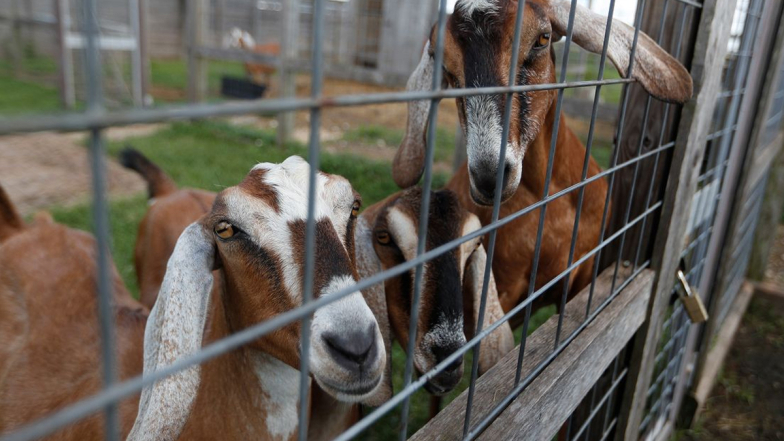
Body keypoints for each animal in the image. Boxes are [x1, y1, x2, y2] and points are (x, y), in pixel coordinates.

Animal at [393, 0, 693, 323]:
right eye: (446, 68)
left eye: (542, 39)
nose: (490, 177)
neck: (551, 201)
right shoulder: (500, 293)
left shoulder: (583, 275)